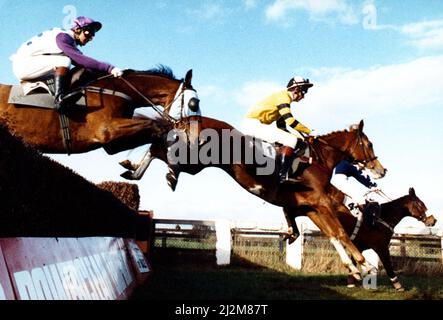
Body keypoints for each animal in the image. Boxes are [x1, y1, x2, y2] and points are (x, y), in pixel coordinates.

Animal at [0, 65, 196, 154]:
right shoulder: (106, 130)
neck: (118, 89)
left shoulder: (112, 144)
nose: (194, 136)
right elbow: (154, 125)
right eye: (194, 103)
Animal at [119, 115, 386, 278]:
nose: (381, 170)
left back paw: (135, 169)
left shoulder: (310, 208)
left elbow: (332, 235)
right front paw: (364, 263)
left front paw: (353, 267)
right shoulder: (320, 204)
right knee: (159, 149)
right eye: (370, 144)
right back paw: (157, 172)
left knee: (158, 147)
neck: (319, 160)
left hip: (195, 162)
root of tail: (190, 119)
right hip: (195, 159)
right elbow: (340, 232)